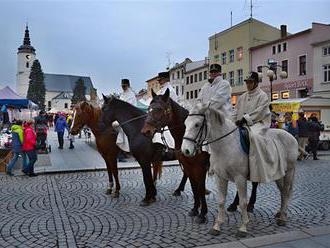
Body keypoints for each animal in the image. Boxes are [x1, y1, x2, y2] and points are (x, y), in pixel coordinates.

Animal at [182, 103, 298, 237]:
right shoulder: (220, 176)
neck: (226, 145)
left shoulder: (240, 178)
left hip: (289, 171)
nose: (185, 150)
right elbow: (221, 200)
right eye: (185, 123)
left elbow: (243, 202)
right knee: (283, 192)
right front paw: (217, 226)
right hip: (279, 174)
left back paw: (282, 218)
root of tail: (289, 135)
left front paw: (243, 227)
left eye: (197, 124)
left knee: (286, 191)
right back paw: (280, 213)